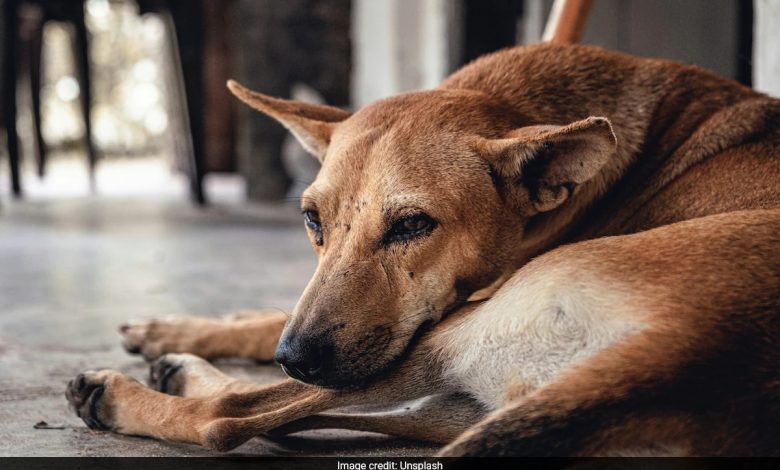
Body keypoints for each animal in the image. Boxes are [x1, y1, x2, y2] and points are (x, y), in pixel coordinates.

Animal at [67, 43, 780, 456]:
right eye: (311, 220)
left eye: (413, 225)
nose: (296, 357)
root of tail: (679, 359)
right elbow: (269, 318)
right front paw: (187, 326)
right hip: (454, 402)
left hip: (444, 338)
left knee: (230, 416)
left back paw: (128, 393)